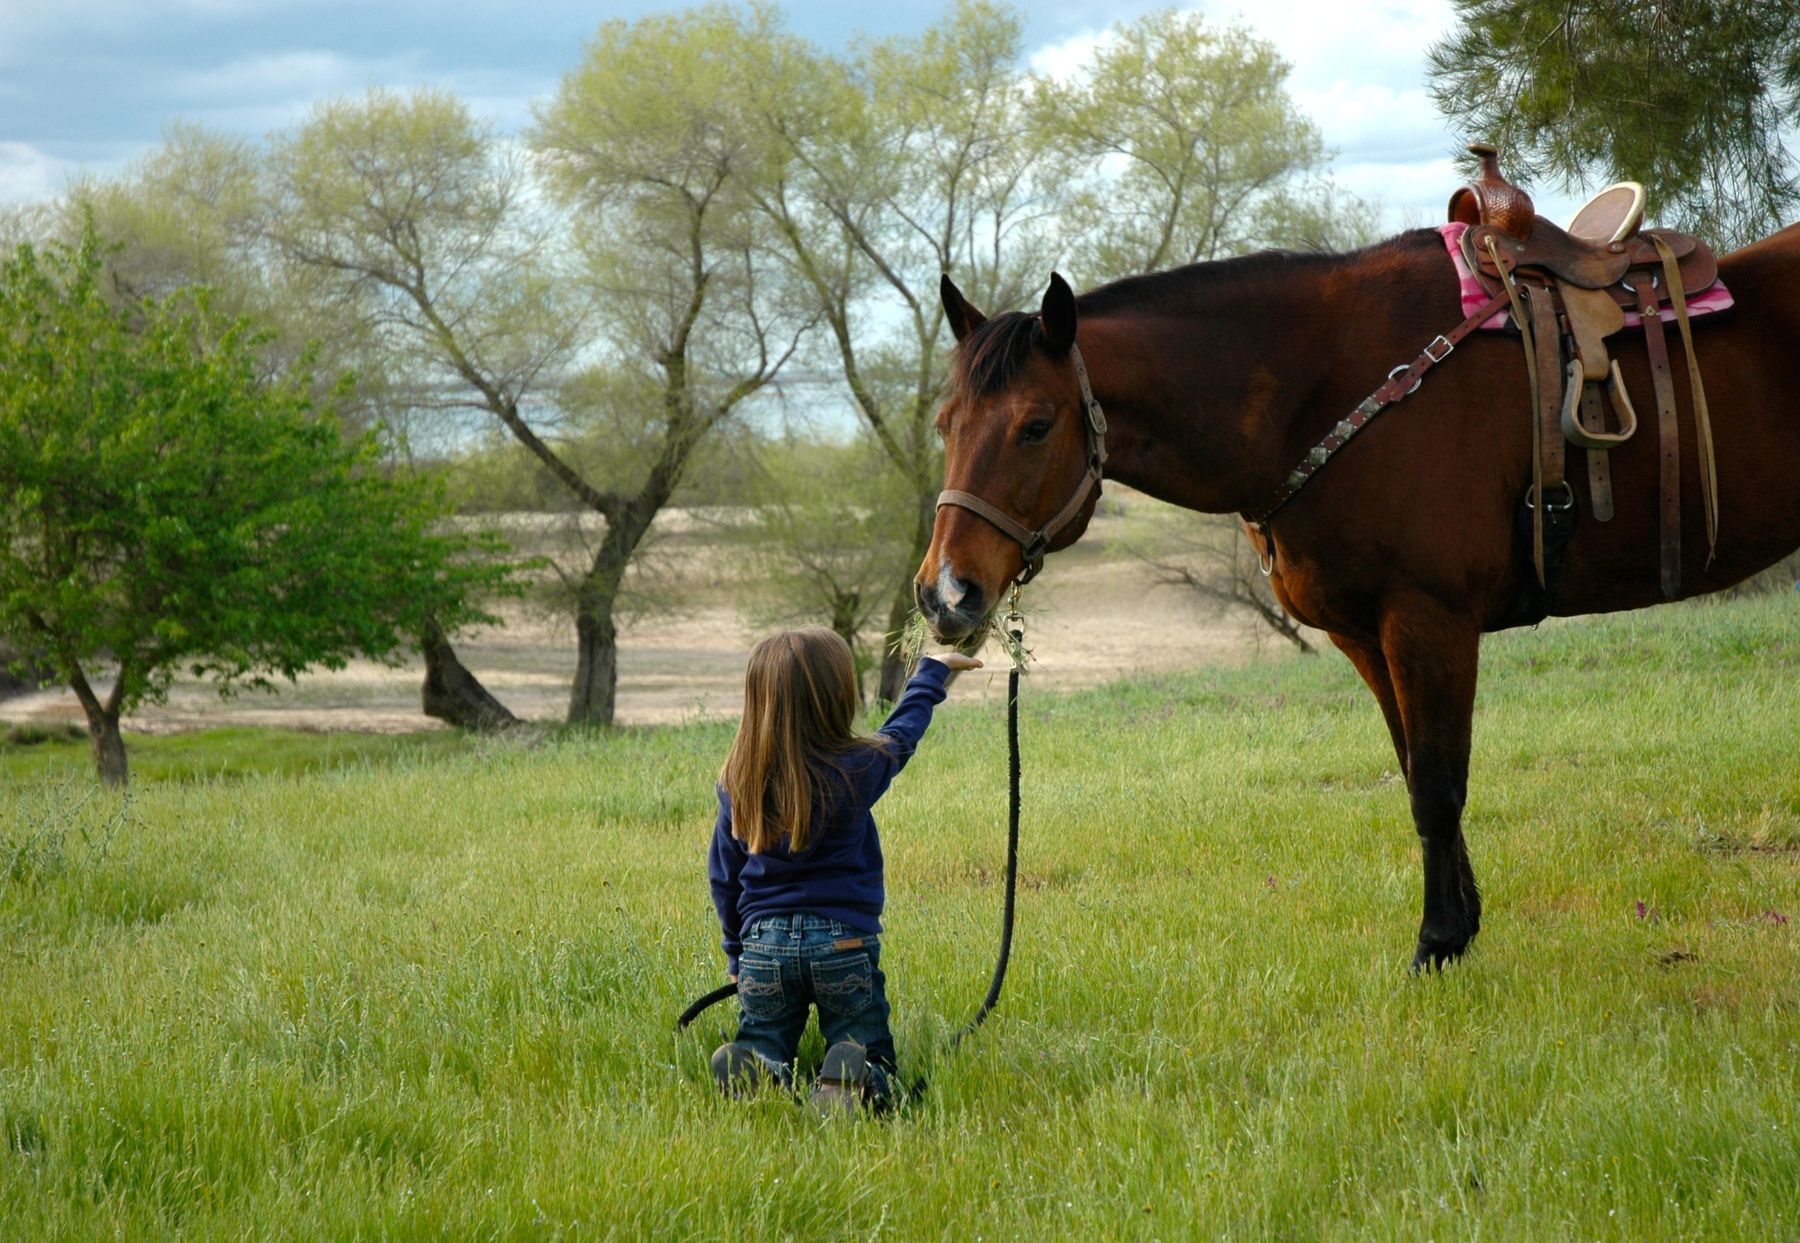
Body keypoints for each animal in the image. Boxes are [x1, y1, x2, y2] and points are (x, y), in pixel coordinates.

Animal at [917, 223, 1800, 970]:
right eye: (944, 422)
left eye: (1036, 425)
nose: (943, 591)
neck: (1326, 387)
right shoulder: (1366, 637)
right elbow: (1414, 772)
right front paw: (1462, 924)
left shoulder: (1428, 623)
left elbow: (1439, 786)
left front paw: (1437, 943)